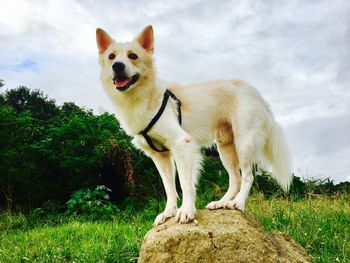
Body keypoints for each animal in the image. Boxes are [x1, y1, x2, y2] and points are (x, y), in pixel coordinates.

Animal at [95, 25, 292, 227]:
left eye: (133, 56)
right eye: (111, 57)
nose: (117, 66)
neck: (141, 98)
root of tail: (256, 94)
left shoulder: (182, 144)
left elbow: (185, 184)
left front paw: (186, 211)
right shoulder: (160, 156)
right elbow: (169, 187)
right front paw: (169, 212)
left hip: (244, 143)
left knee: (247, 176)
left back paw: (237, 203)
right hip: (225, 149)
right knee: (235, 179)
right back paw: (221, 203)